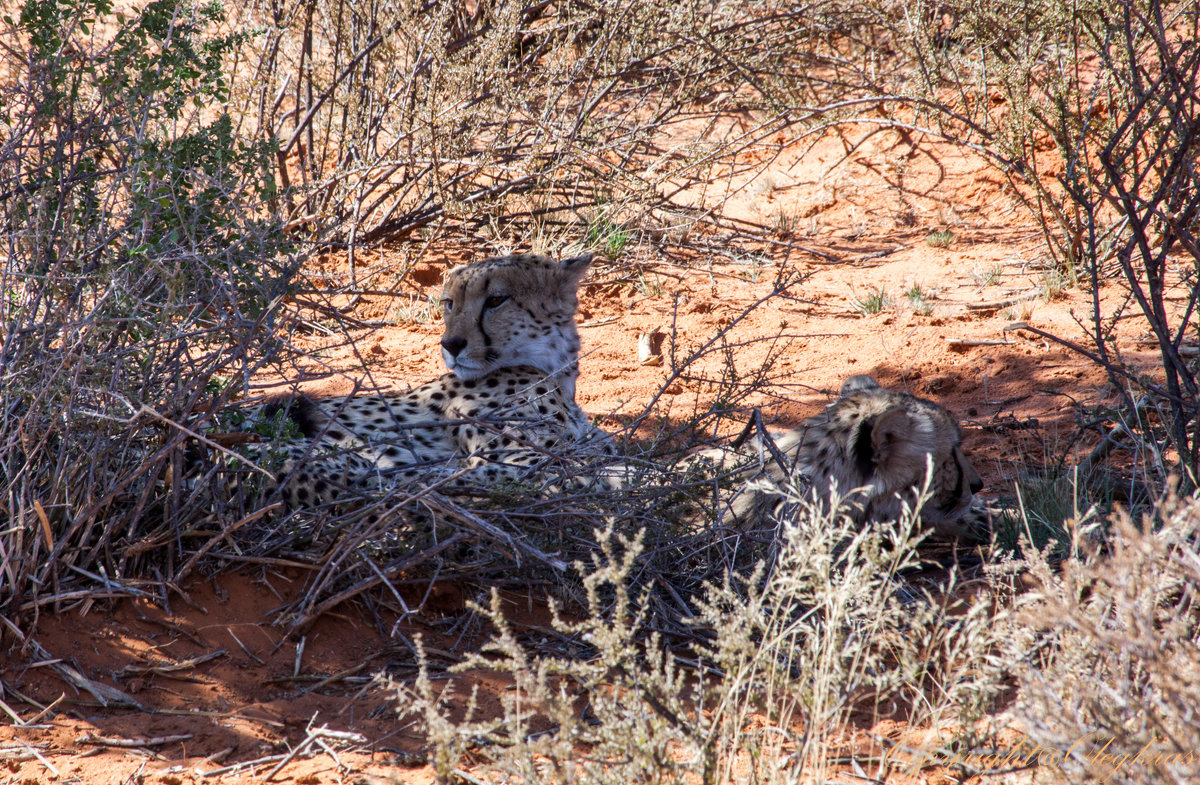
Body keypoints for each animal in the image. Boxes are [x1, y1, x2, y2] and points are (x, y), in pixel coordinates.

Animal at [235, 253, 614, 511]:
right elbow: (582, 471)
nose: (451, 344)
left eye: (496, 300)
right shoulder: (511, 460)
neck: (556, 369)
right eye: (449, 303)